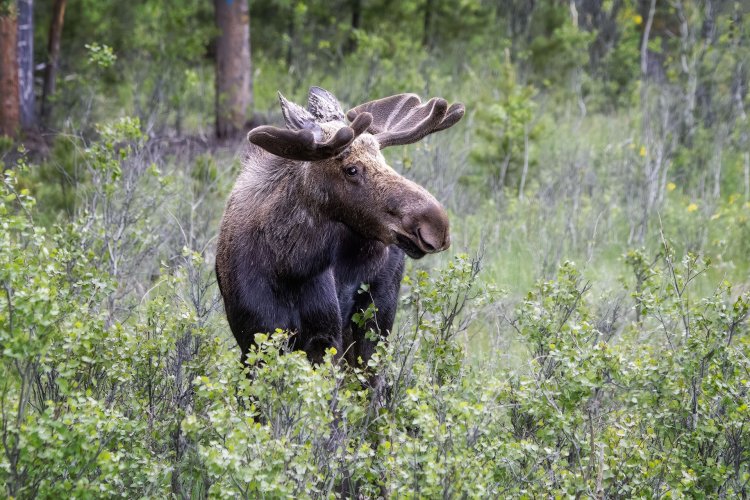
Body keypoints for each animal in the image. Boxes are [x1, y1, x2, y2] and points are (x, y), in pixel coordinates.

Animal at [216, 86, 464, 370]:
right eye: (351, 169)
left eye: (383, 160)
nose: (437, 224)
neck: (285, 267)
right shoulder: (253, 338)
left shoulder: (324, 337)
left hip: (377, 315)